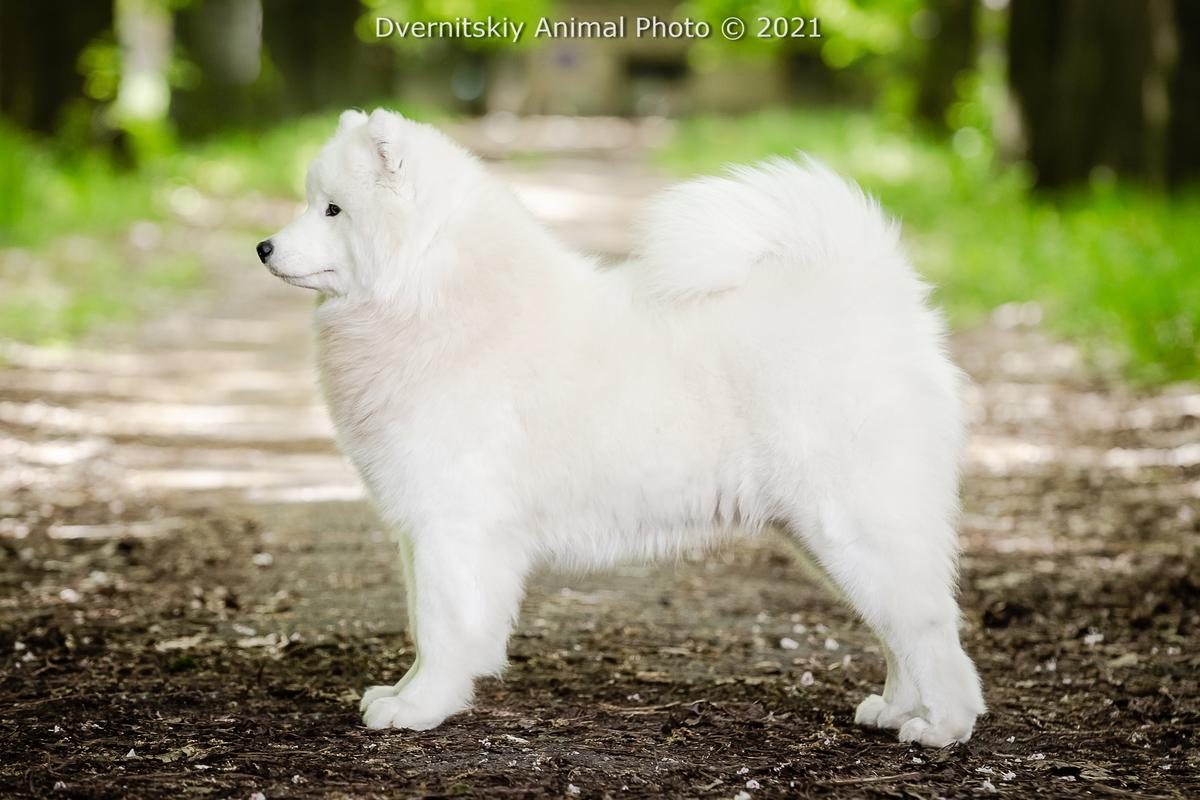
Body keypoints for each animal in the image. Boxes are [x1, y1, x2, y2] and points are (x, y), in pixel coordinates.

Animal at [255, 109, 984, 748]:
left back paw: (941, 726)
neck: (430, 298)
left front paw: (422, 708)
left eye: (333, 210)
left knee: (929, 627)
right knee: (898, 631)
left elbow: (441, 630)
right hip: (825, 538)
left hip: (855, 523)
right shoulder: (421, 531)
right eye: (312, 201)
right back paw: (896, 709)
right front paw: (403, 694)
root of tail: (880, 296)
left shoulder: (452, 526)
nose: (263, 247)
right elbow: (420, 624)